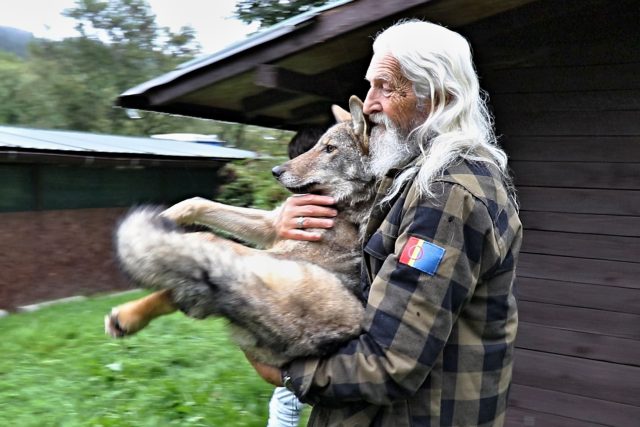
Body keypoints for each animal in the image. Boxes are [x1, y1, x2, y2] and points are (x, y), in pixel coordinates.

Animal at [105, 97, 376, 368]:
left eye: (330, 149)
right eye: (318, 146)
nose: (275, 171)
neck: (342, 206)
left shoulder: (278, 247)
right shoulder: (273, 223)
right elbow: (196, 202)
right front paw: (164, 217)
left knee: (196, 266)